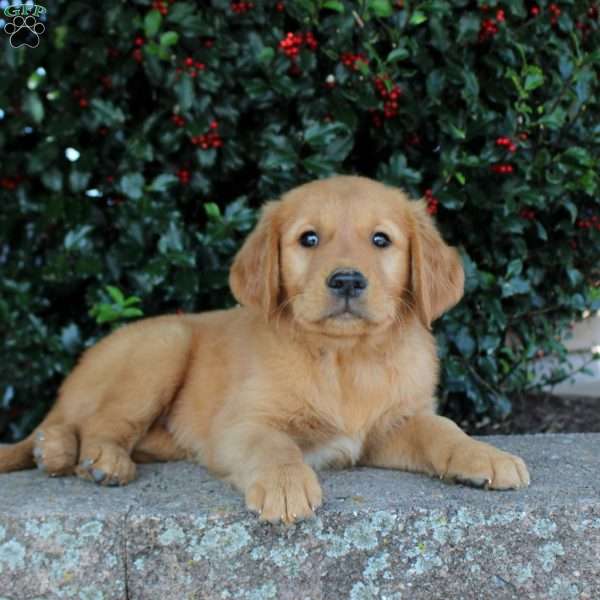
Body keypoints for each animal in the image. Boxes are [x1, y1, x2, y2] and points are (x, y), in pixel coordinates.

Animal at [0, 176, 528, 524]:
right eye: (308, 239)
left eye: (382, 240)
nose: (346, 280)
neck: (344, 360)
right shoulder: (240, 423)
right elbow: (272, 443)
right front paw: (286, 484)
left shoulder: (390, 426)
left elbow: (442, 429)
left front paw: (483, 456)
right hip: (163, 345)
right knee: (96, 423)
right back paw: (98, 460)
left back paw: (55, 451)